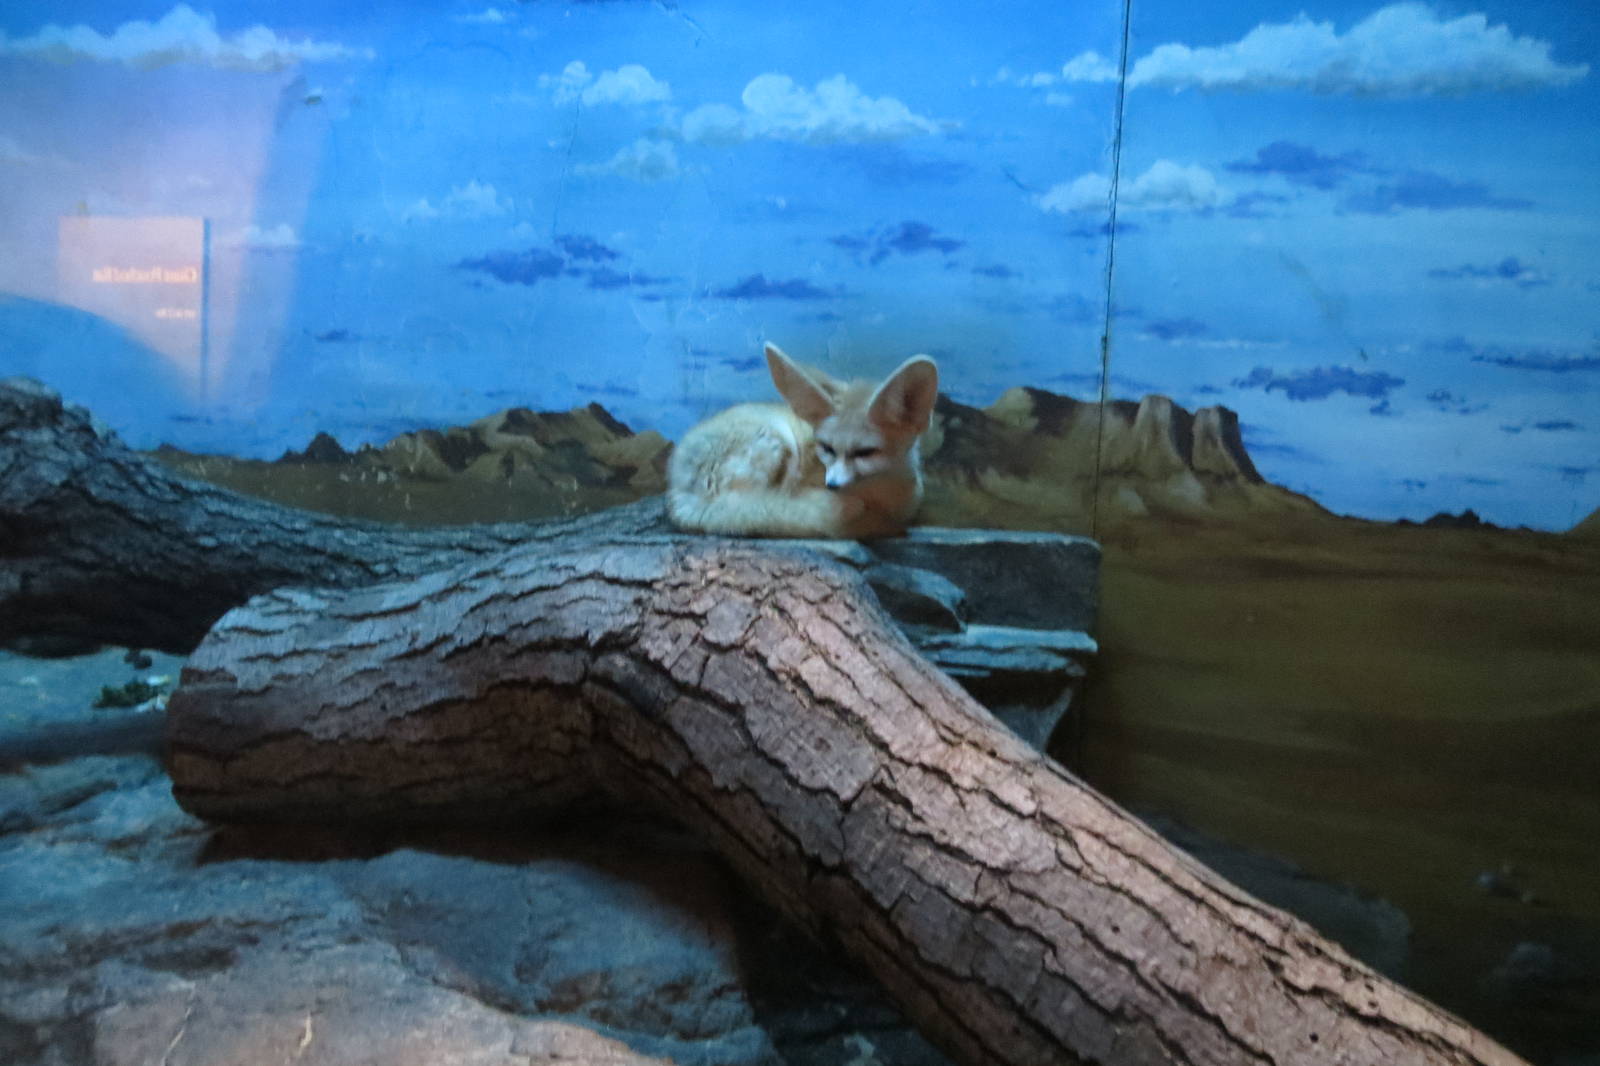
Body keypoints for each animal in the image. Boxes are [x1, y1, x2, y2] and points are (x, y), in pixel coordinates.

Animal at [666, 343, 940, 539]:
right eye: (827, 448)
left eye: (865, 452)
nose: (831, 485)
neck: (880, 495)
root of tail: (678, 491)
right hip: (776, 442)